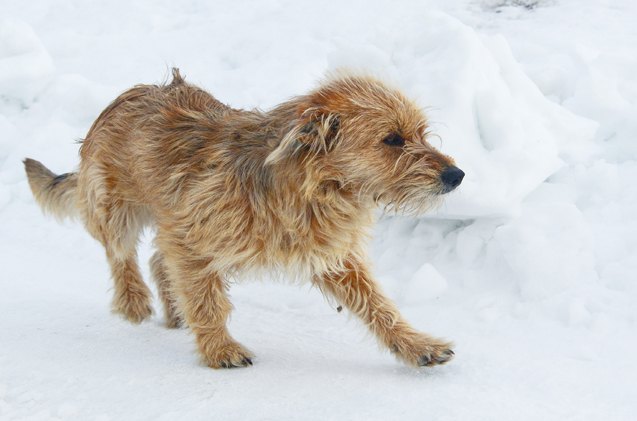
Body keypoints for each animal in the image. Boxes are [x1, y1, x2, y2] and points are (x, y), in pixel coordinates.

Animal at [23, 69, 462, 368]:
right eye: (392, 140)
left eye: (421, 133)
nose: (455, 175)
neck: (310, 187)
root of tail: (124, 96)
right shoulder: (191, 234)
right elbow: (207, 301)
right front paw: (219, 348)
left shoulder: (333, 256)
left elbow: (378, 304)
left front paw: (415, 345)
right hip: (115, 208)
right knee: (122, 256)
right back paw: (134, 303)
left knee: (159, 260)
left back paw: (173, 310)